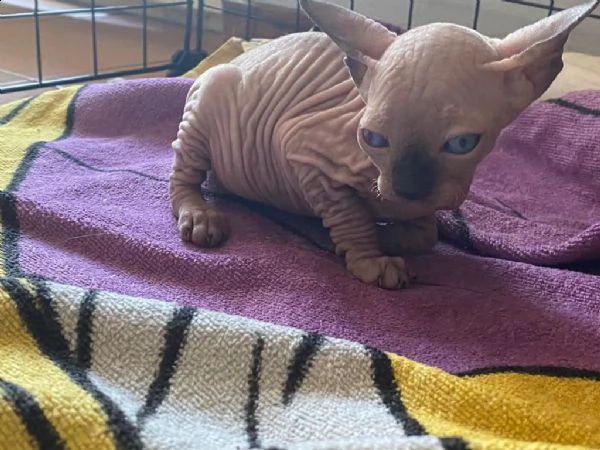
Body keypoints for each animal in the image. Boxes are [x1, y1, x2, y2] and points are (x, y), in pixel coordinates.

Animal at [169, 0, 599, 289]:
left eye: (462, 143)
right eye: (372, 139)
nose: (408, 187)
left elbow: (426, 234)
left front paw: (390, 234)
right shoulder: (303, 152)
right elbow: (350, 216)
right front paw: (370, 257)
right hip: (209, 95)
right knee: (182, 177)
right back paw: (201, 215)